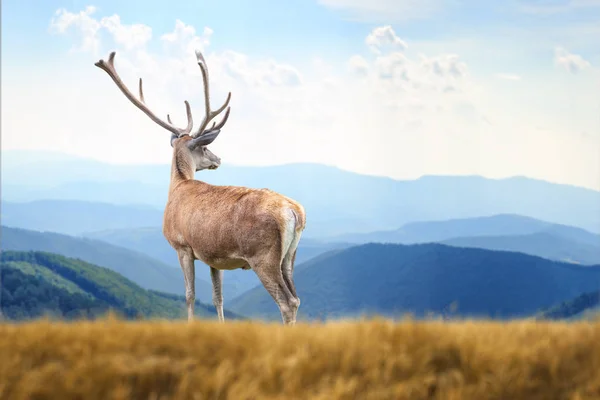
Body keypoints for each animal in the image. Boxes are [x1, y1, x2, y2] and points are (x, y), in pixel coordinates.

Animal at [96, 50, 310, 324]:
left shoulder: (182, 246)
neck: (178, 186)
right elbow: (218, 297)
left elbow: (190, 294)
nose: (218, 159)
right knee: (297, 297)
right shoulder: (214, 257)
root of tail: (295, 212)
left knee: (287, 301)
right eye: (206, 148)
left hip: (263, 255)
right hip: (290, 256)